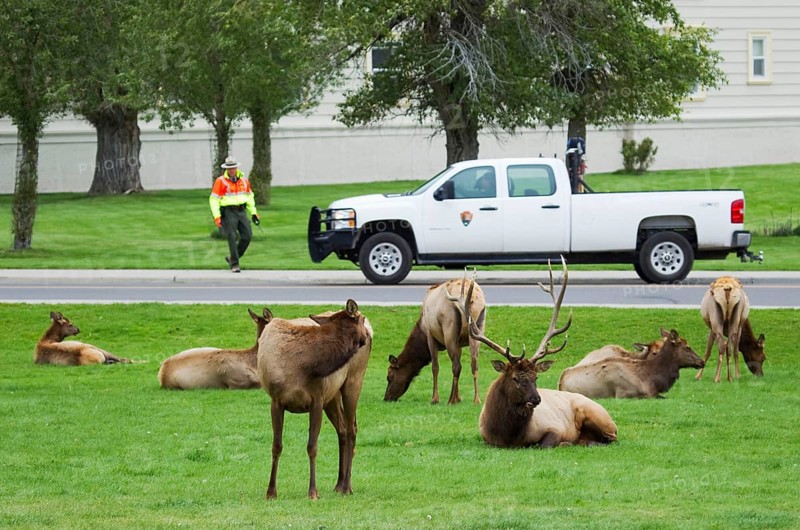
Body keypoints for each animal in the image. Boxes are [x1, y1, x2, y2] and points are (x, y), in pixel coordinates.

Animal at [257, 299, 372, 500]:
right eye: (361, 319)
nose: (367, 336)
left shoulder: (316, 400)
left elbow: (312, 446)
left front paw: (312, 491)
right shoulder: (276, 401)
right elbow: (276, 446)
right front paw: (271, 491)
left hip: (353, 381)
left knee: (352, 429)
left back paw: (347, 486)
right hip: (333, 396)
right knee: (342, 429)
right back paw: (339, 484)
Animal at [384, 274, 487, 404]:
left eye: (389, 376)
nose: (386, 397)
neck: (421, 327)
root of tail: (473, 298)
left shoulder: (430, 336)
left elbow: (435, 367)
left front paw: (435, 398)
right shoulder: (459, 343)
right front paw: (459, 398)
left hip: (449, 326)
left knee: (457, 366)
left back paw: (451, 400)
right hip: (478, 326)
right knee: (474, 364)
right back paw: (476, 399)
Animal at [464, 258, 617, 448]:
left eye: (536, 377)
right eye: (515, 378)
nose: (537, 399)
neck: (509, 435)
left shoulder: (555, 428)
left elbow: (545, 444)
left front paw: (563, 442)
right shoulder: (487, 439)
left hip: (594, 415)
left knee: (609, 439)